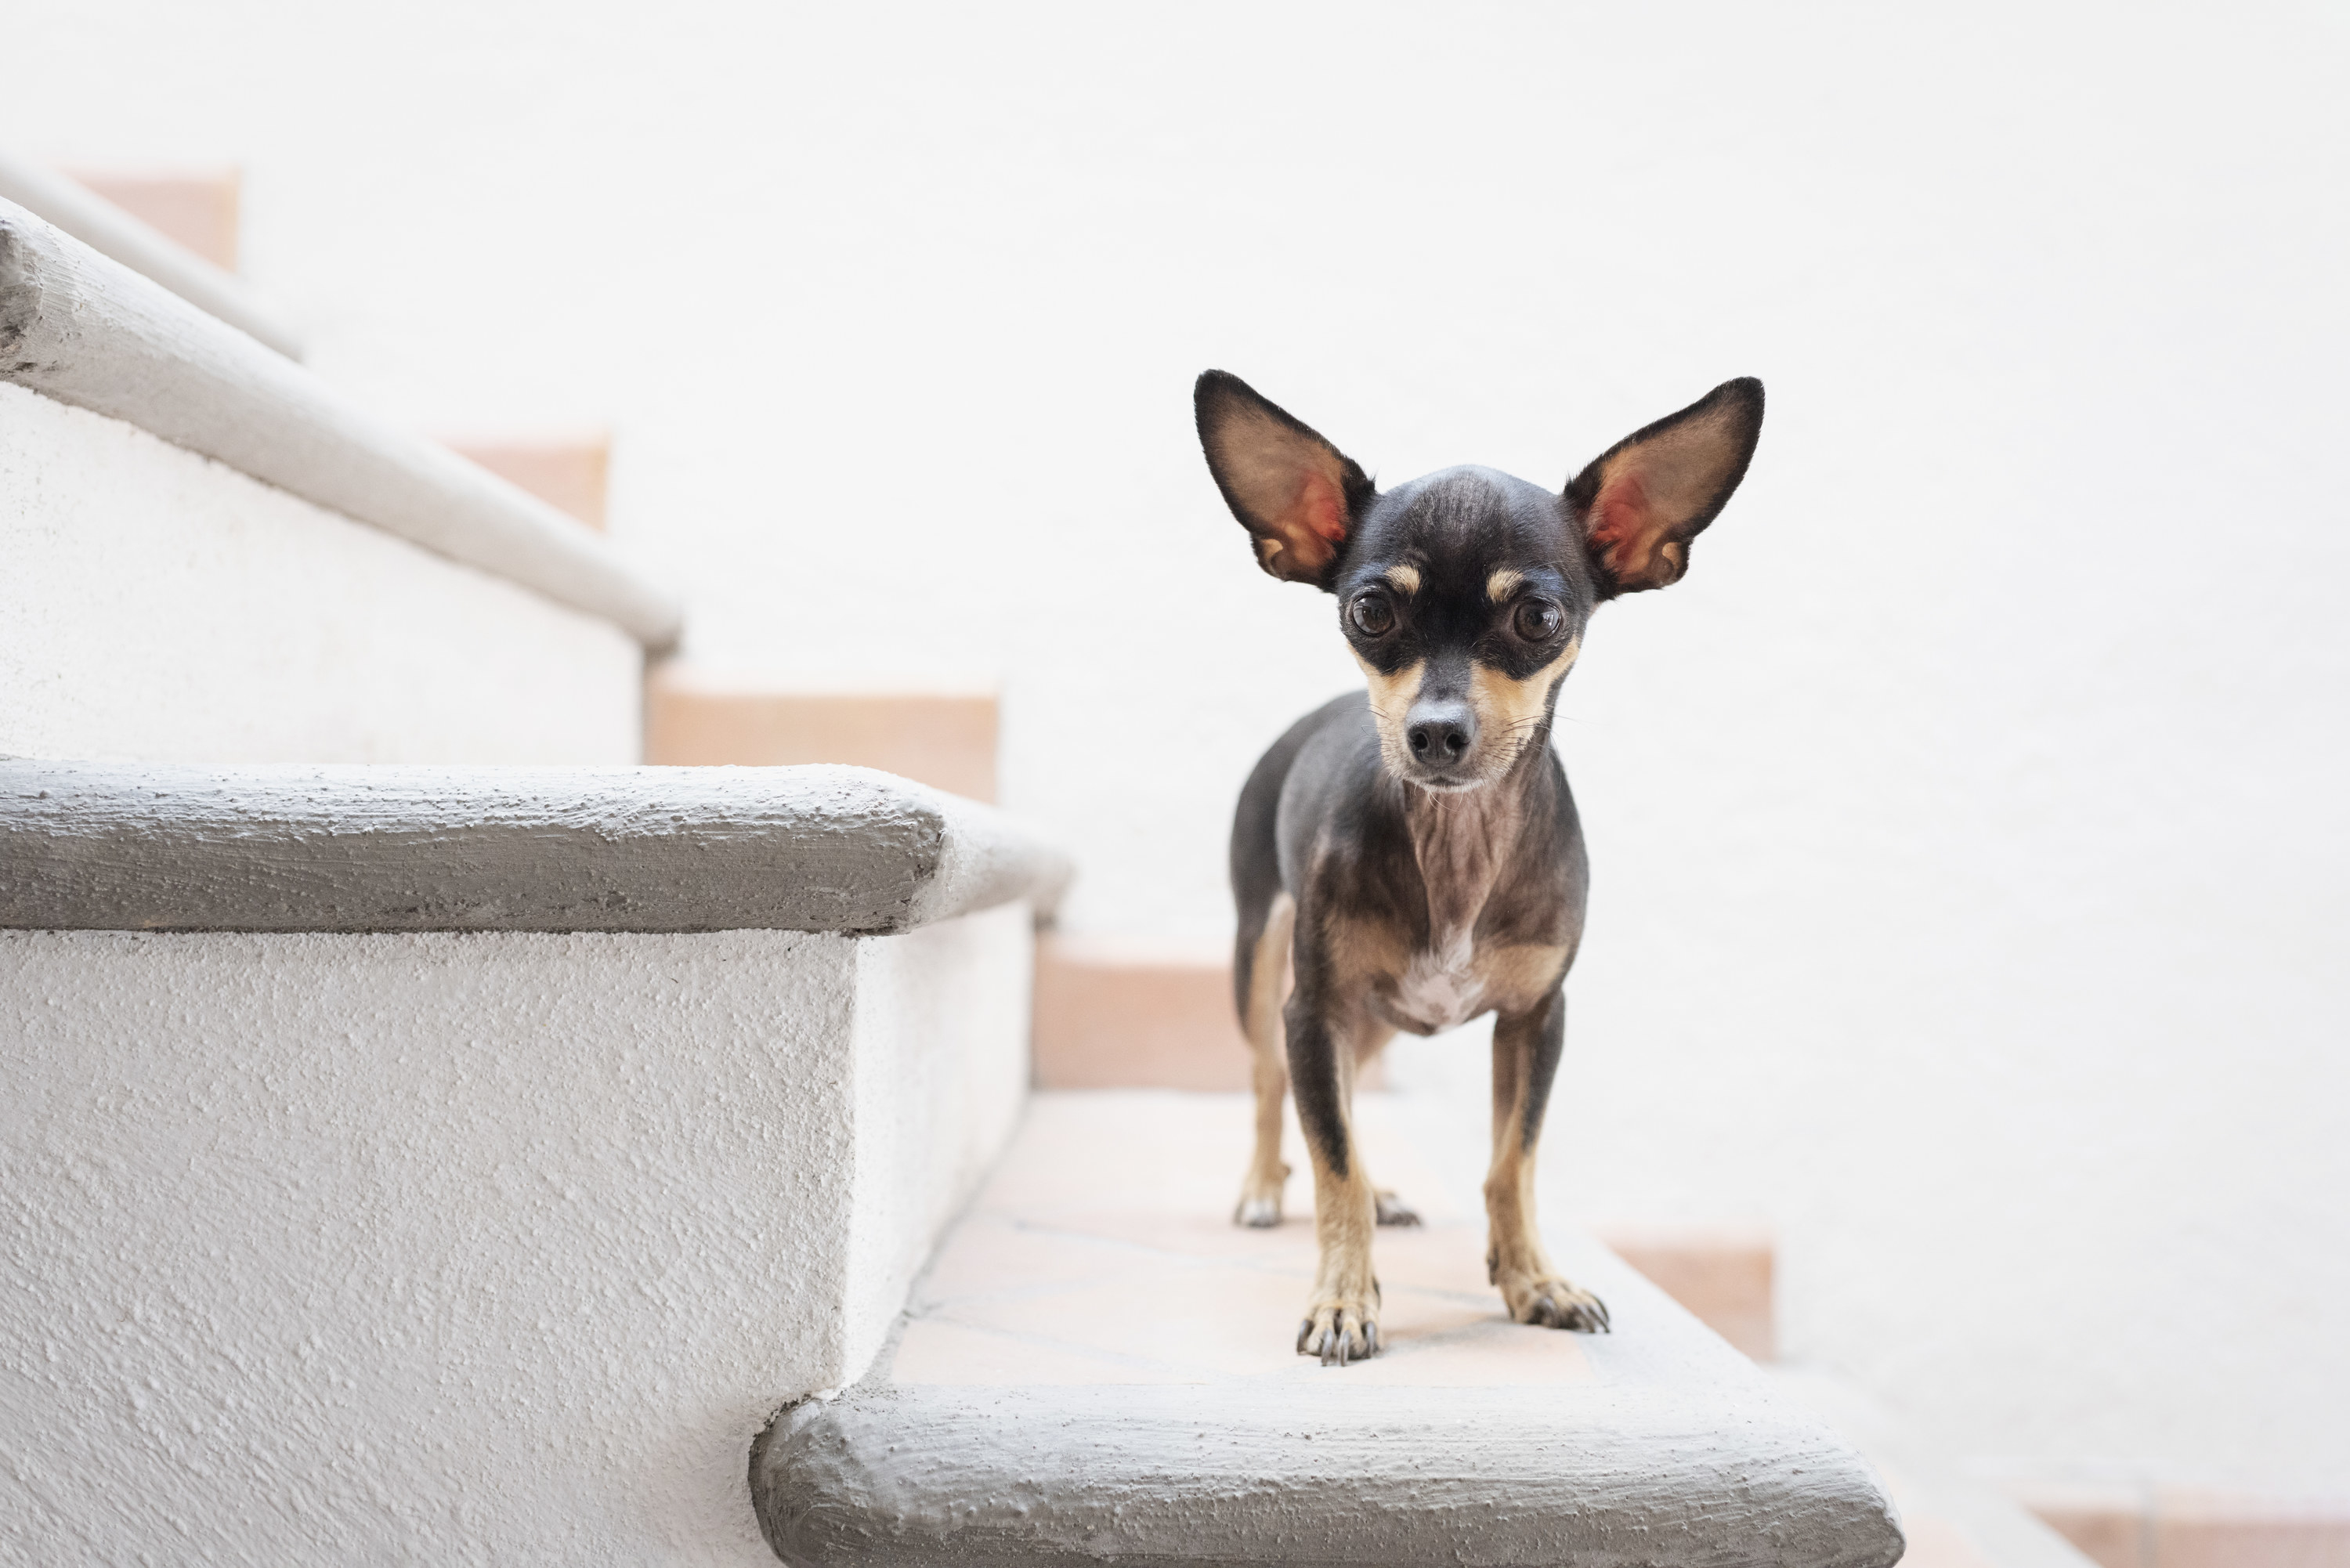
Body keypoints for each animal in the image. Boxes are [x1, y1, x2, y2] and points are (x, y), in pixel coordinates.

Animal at [1194, 369, 1767, 1363]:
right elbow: (1334, 1165)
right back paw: (1267, 1185)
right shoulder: (1314, 1011)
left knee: (1349, 1101)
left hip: (1373, 1018)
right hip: (1264, 967)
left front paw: (1534, 1279)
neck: (1458, 842)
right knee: (1274, 1088)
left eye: (1538, 618)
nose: (1435, 731)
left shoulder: (1537, 1020)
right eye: (1371, 611)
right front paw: (1343, 1299)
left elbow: (1511, 1162)